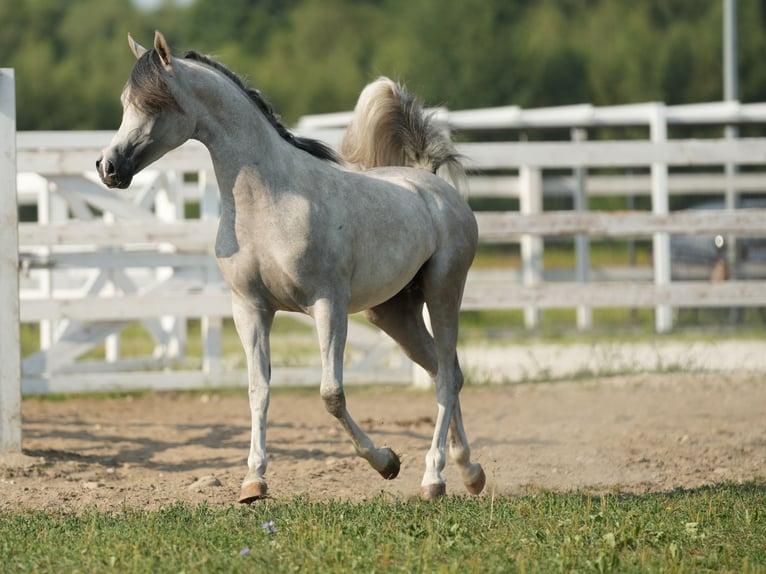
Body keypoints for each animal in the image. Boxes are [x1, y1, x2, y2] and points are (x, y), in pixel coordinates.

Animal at [97, 31, 485, 502]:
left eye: (155, 104)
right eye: (125, 102)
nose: (108, 167)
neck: (267, 202)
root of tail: (433, 184)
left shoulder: (327, 306)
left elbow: (331, 395)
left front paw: (386, 462)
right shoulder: (250, 309)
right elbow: (258, 391)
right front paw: (253, 482)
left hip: (444, 291)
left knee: (447, 376)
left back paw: (434, 478)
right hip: (394, 314)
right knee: (444, 372)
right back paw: (469, 471)